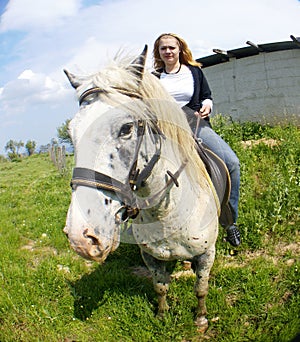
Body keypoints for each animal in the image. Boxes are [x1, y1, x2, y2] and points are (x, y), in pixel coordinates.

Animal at [63, 46, 220, 332]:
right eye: (71, 133)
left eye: (126, 128)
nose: (82, 238)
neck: (167, 212)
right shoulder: (151, 258)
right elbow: (160, 287)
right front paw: (162, 315)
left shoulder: (206, 254)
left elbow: (201, 289)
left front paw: (201, 320)